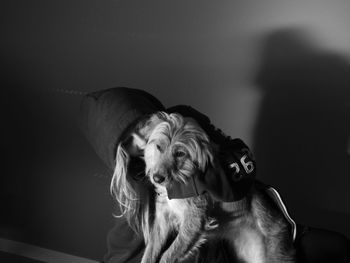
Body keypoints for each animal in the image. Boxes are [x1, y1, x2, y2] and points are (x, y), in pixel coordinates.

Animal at [111, 113, 296, 263]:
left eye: (180, 153)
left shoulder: (194, 221)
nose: (157, 178)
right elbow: (151, 251)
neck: (179, 182)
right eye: (158, 147)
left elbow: (168, 255)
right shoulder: (163, 220)